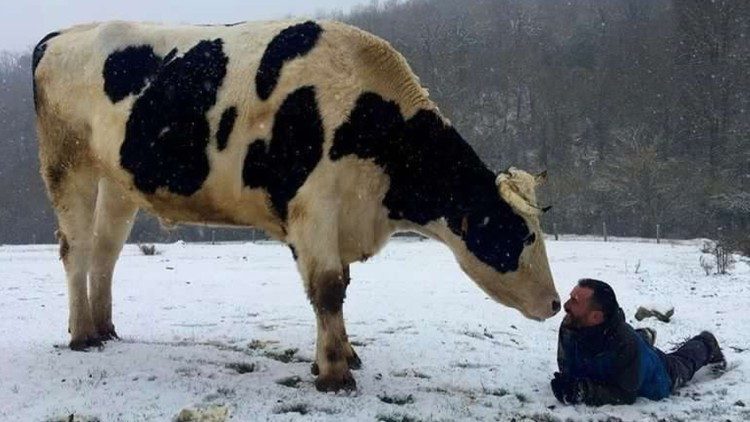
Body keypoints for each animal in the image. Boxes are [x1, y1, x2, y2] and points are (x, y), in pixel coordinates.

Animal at [35, 19, 560, 390]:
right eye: (519, 234)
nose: (556, 303)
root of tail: (62, 35)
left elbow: (338, 287)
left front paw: (344, 355)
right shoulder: (313, 208)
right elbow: (327, 289)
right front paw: (335, 375)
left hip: (116, 185)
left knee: (104, 254)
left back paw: (105, 328)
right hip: (67, 165)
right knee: (77, 250)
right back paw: (82, 336)